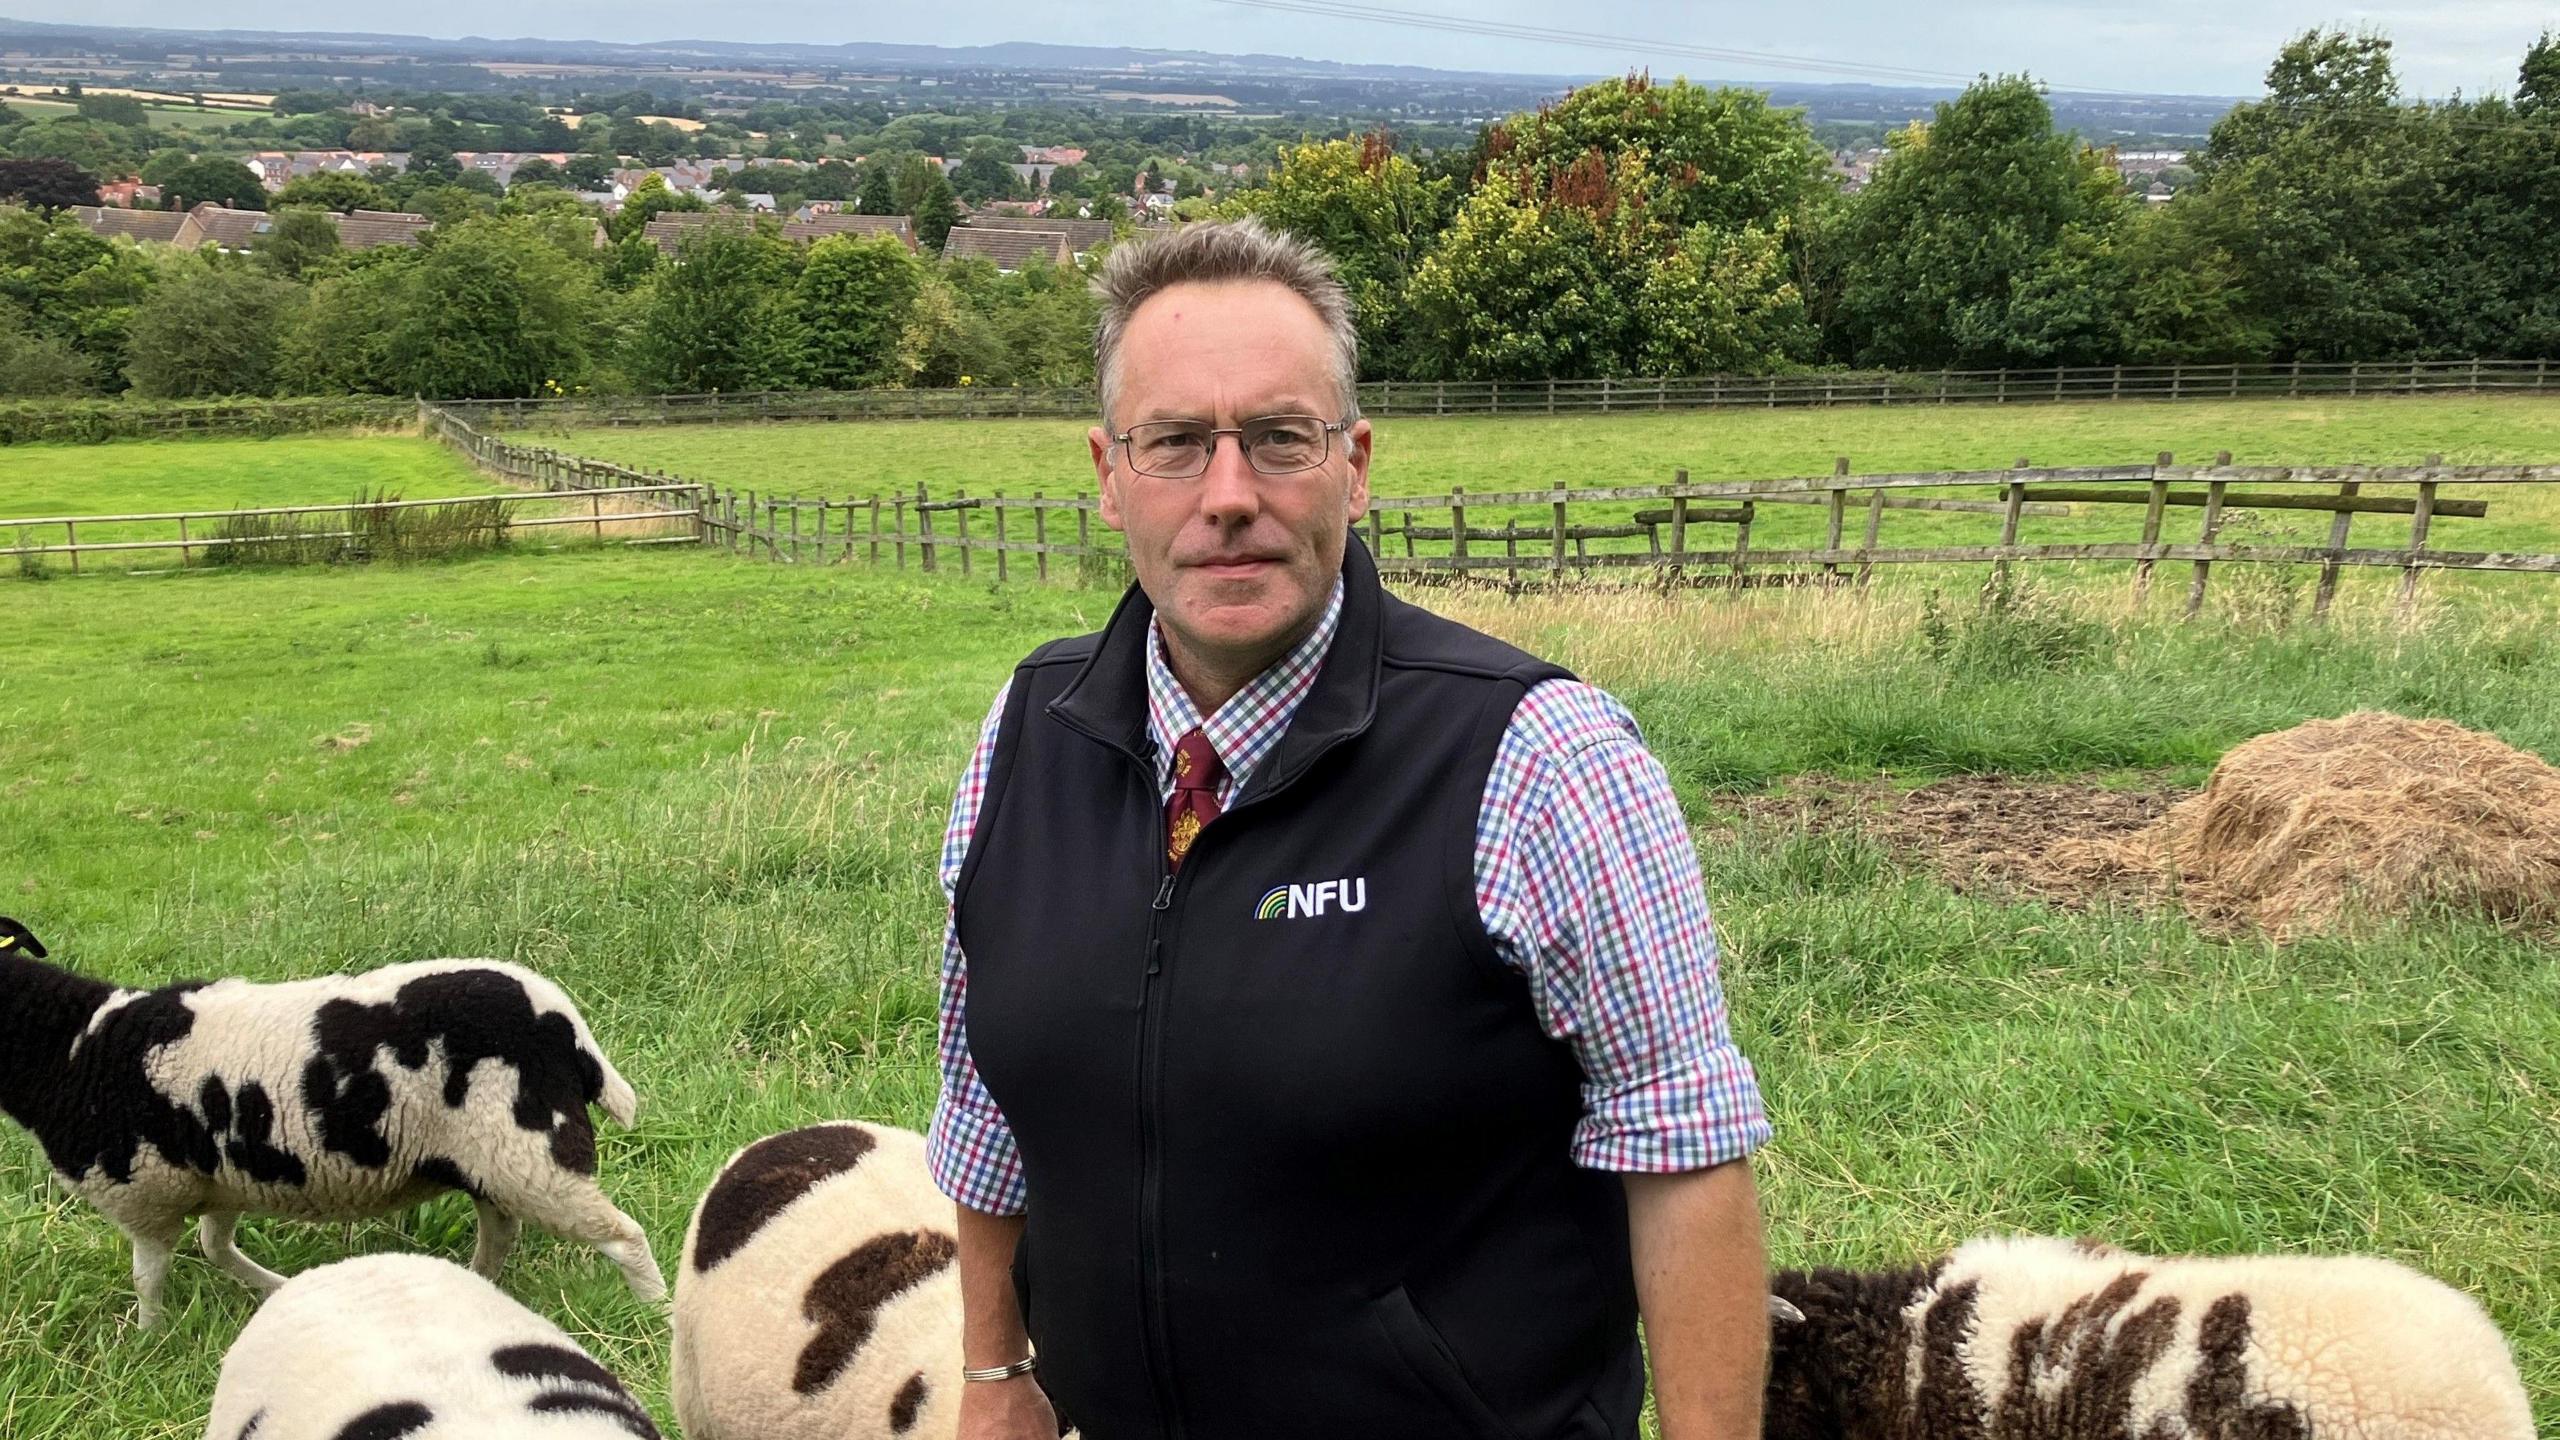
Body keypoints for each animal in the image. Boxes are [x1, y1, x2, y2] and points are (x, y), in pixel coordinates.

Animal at [2, 907, 660, 1322]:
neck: (72, 1047)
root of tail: (562, 1020)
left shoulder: (144, 1194)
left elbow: (149, 1279)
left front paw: (150, 1343)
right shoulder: (225, 1179)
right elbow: (217, 1247)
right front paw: (280, 1290)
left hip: (533, 1152)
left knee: (624, 1236)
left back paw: (656, 1313)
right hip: (493, 1159)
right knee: (500, 1233)